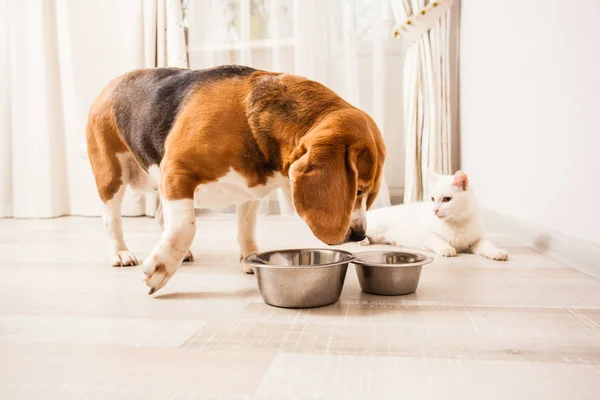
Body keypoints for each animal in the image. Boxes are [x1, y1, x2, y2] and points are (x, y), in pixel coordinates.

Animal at [86, 65, 386, 294]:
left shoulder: (250, 191)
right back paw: (120, 253)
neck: (251, 125)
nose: (359, 234)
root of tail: (113, 82)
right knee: (111, 218)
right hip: (112, 173)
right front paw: (161, 268)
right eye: (358, 190)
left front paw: (250, 257)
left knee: (161, 217)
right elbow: (186, 227)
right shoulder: (177, 170)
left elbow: (246, 229)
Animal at [364, 170, 508, 260]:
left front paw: (498, 253)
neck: (456, 222)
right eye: (432, 198)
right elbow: (437, 239)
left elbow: (487, 246)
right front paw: (447, 249)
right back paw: (363, 240)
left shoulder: (478, 240)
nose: (434, 210)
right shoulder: (424, 234)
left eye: (447, 199)